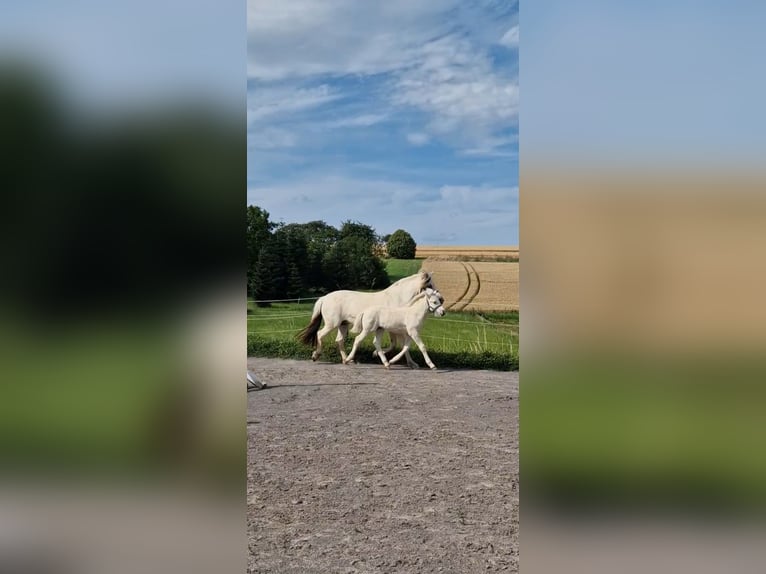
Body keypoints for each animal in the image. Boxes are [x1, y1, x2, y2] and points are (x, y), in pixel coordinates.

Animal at [298, 272, 438, 364]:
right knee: (320, 334)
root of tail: (324, 298)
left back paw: (346, 359)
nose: (440, 299)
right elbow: (395, 344)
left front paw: (411, 363)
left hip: (343, 324)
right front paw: (376, 354)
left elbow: (404, 345)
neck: (397, 299)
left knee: (339, 340)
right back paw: (316, 356)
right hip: (331, 324)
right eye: (430, 286)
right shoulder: (392, 328)